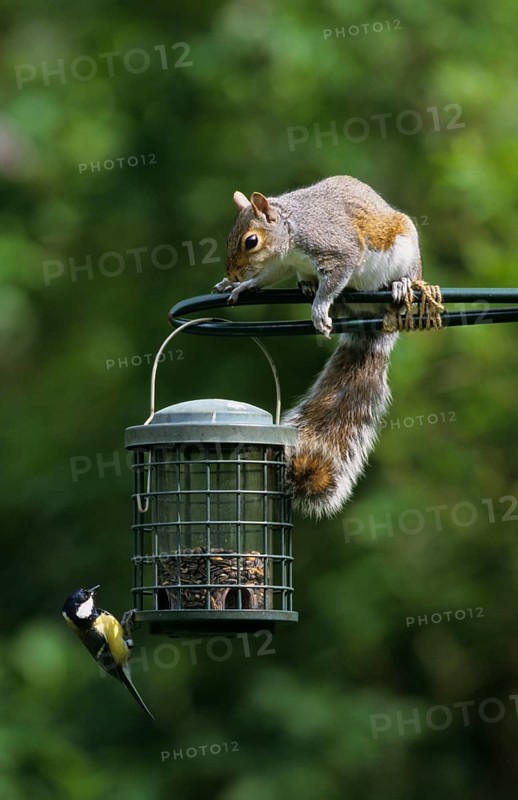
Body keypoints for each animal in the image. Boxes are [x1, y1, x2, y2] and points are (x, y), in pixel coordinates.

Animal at [213, 176, 422, 518]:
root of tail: (369, 319)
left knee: (407, 274)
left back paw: (400, 284)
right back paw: (310, 287)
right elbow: (267, 277)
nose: (232, 273)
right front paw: (242, 286)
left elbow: (336, 276)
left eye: (250, 241)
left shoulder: (337, 249)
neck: (292, 229)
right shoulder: (284, 265)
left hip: (404, 249)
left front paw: (319, 307)